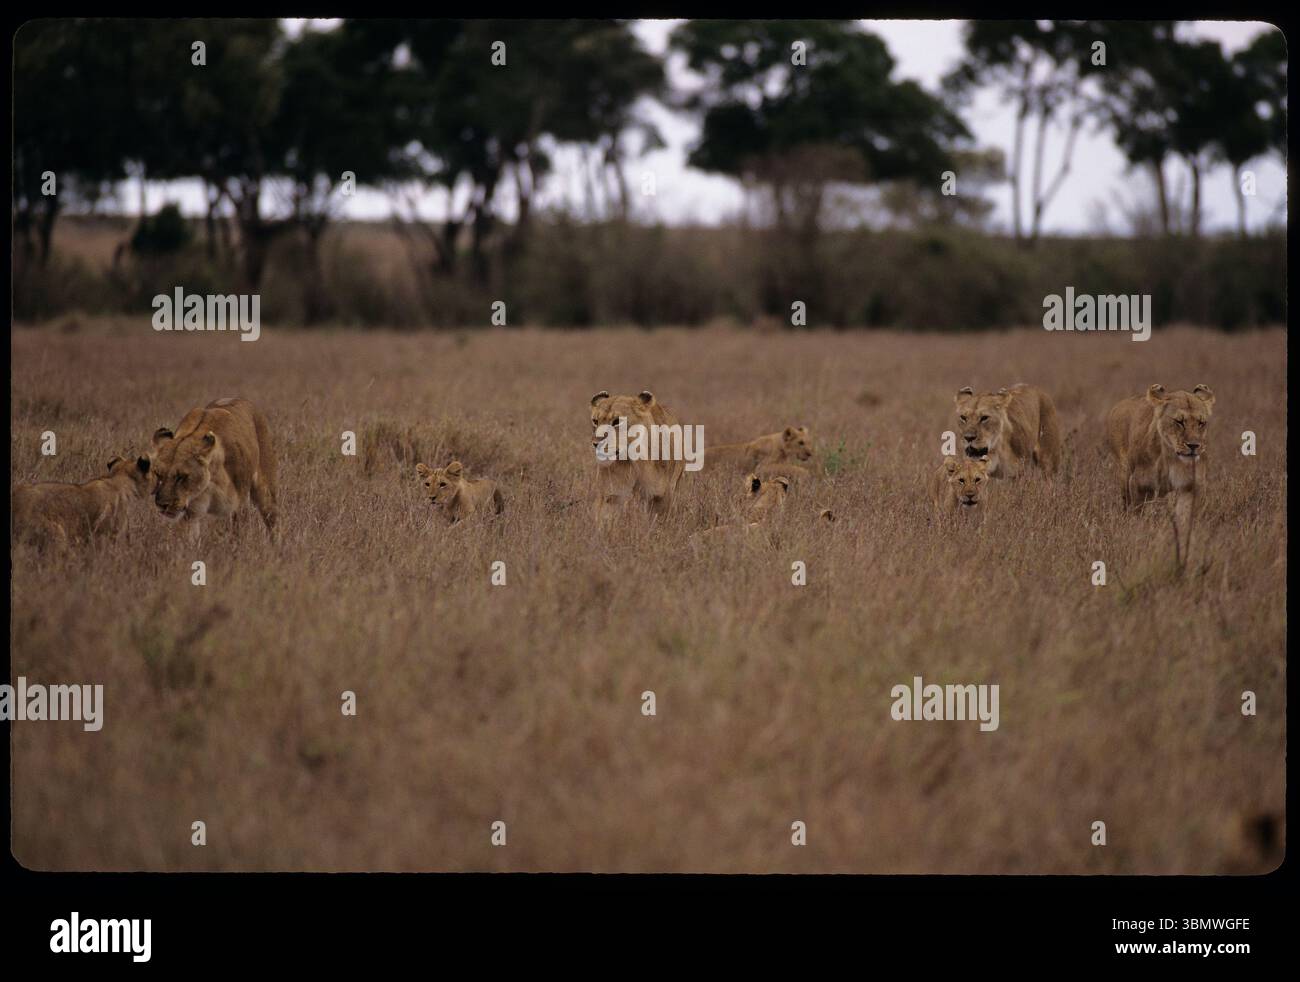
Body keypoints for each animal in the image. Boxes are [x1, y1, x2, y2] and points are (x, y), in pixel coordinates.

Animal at [150, 397, 278, 537]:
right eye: (158, 474)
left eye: (181, 477)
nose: (163, 505)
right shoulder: (191, 513)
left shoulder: (238, 506)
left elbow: (238, 535)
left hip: (266, 491)